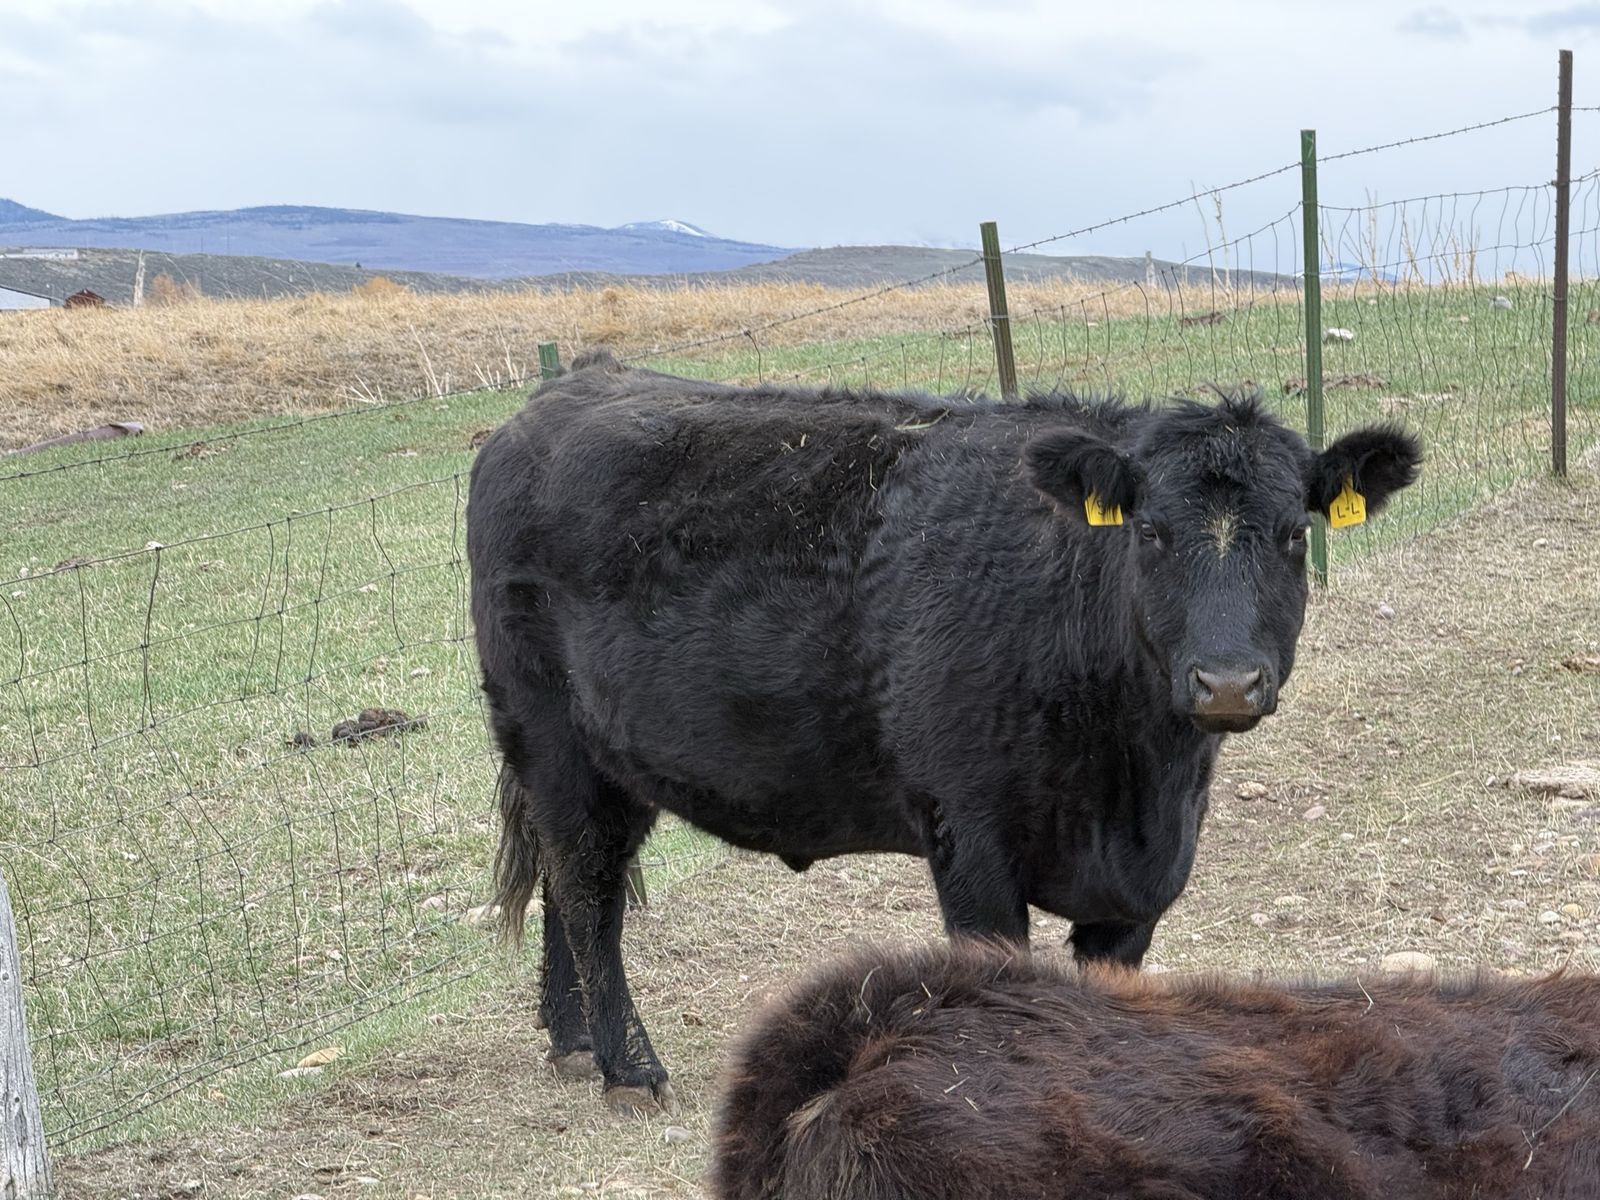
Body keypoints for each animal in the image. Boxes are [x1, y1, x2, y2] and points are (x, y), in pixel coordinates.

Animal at [466, 350, 1420, 1114]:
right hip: (551, 735)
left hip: (605, 761)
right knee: (586, 887)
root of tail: (560, 392)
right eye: (1150, 531)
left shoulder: (1136, 890)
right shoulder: (970, 840)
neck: (1138, 786)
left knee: (569, 880)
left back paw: (573, 1041)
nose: (1226, 681)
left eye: (1294, 534)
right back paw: (630, 1070)